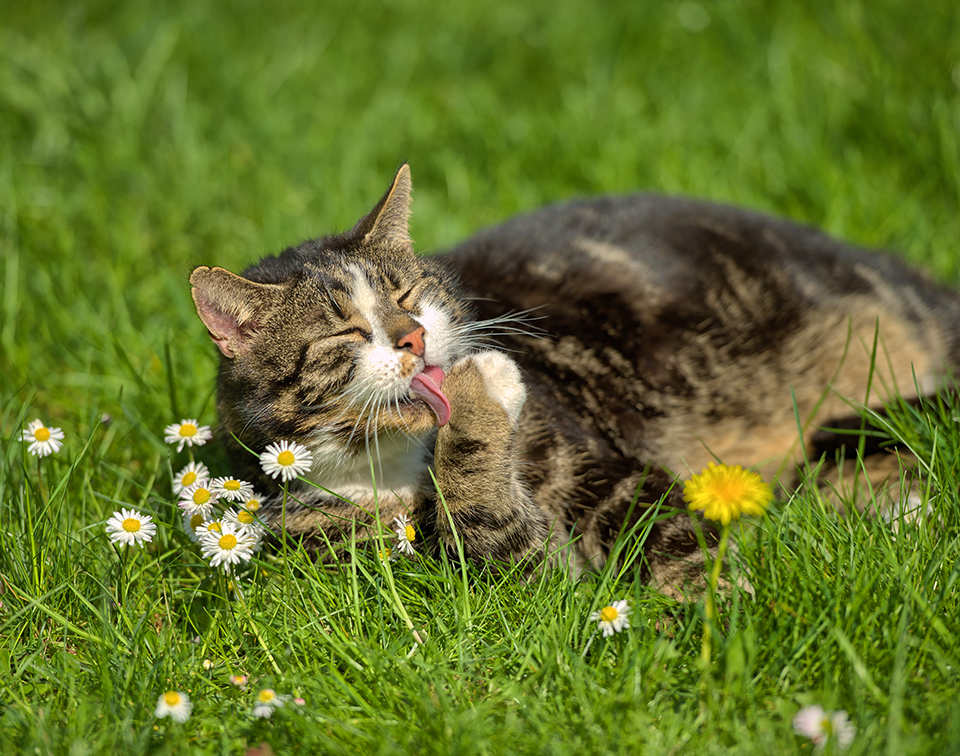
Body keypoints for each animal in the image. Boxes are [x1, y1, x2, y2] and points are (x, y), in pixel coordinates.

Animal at [189, 164, 960, 592]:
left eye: (408, 294)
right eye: (346, 333)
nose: (414, 337)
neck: (394, 463)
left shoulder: (608, 472)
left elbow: (673, 544)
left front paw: (707, 623)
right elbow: (501, 541)